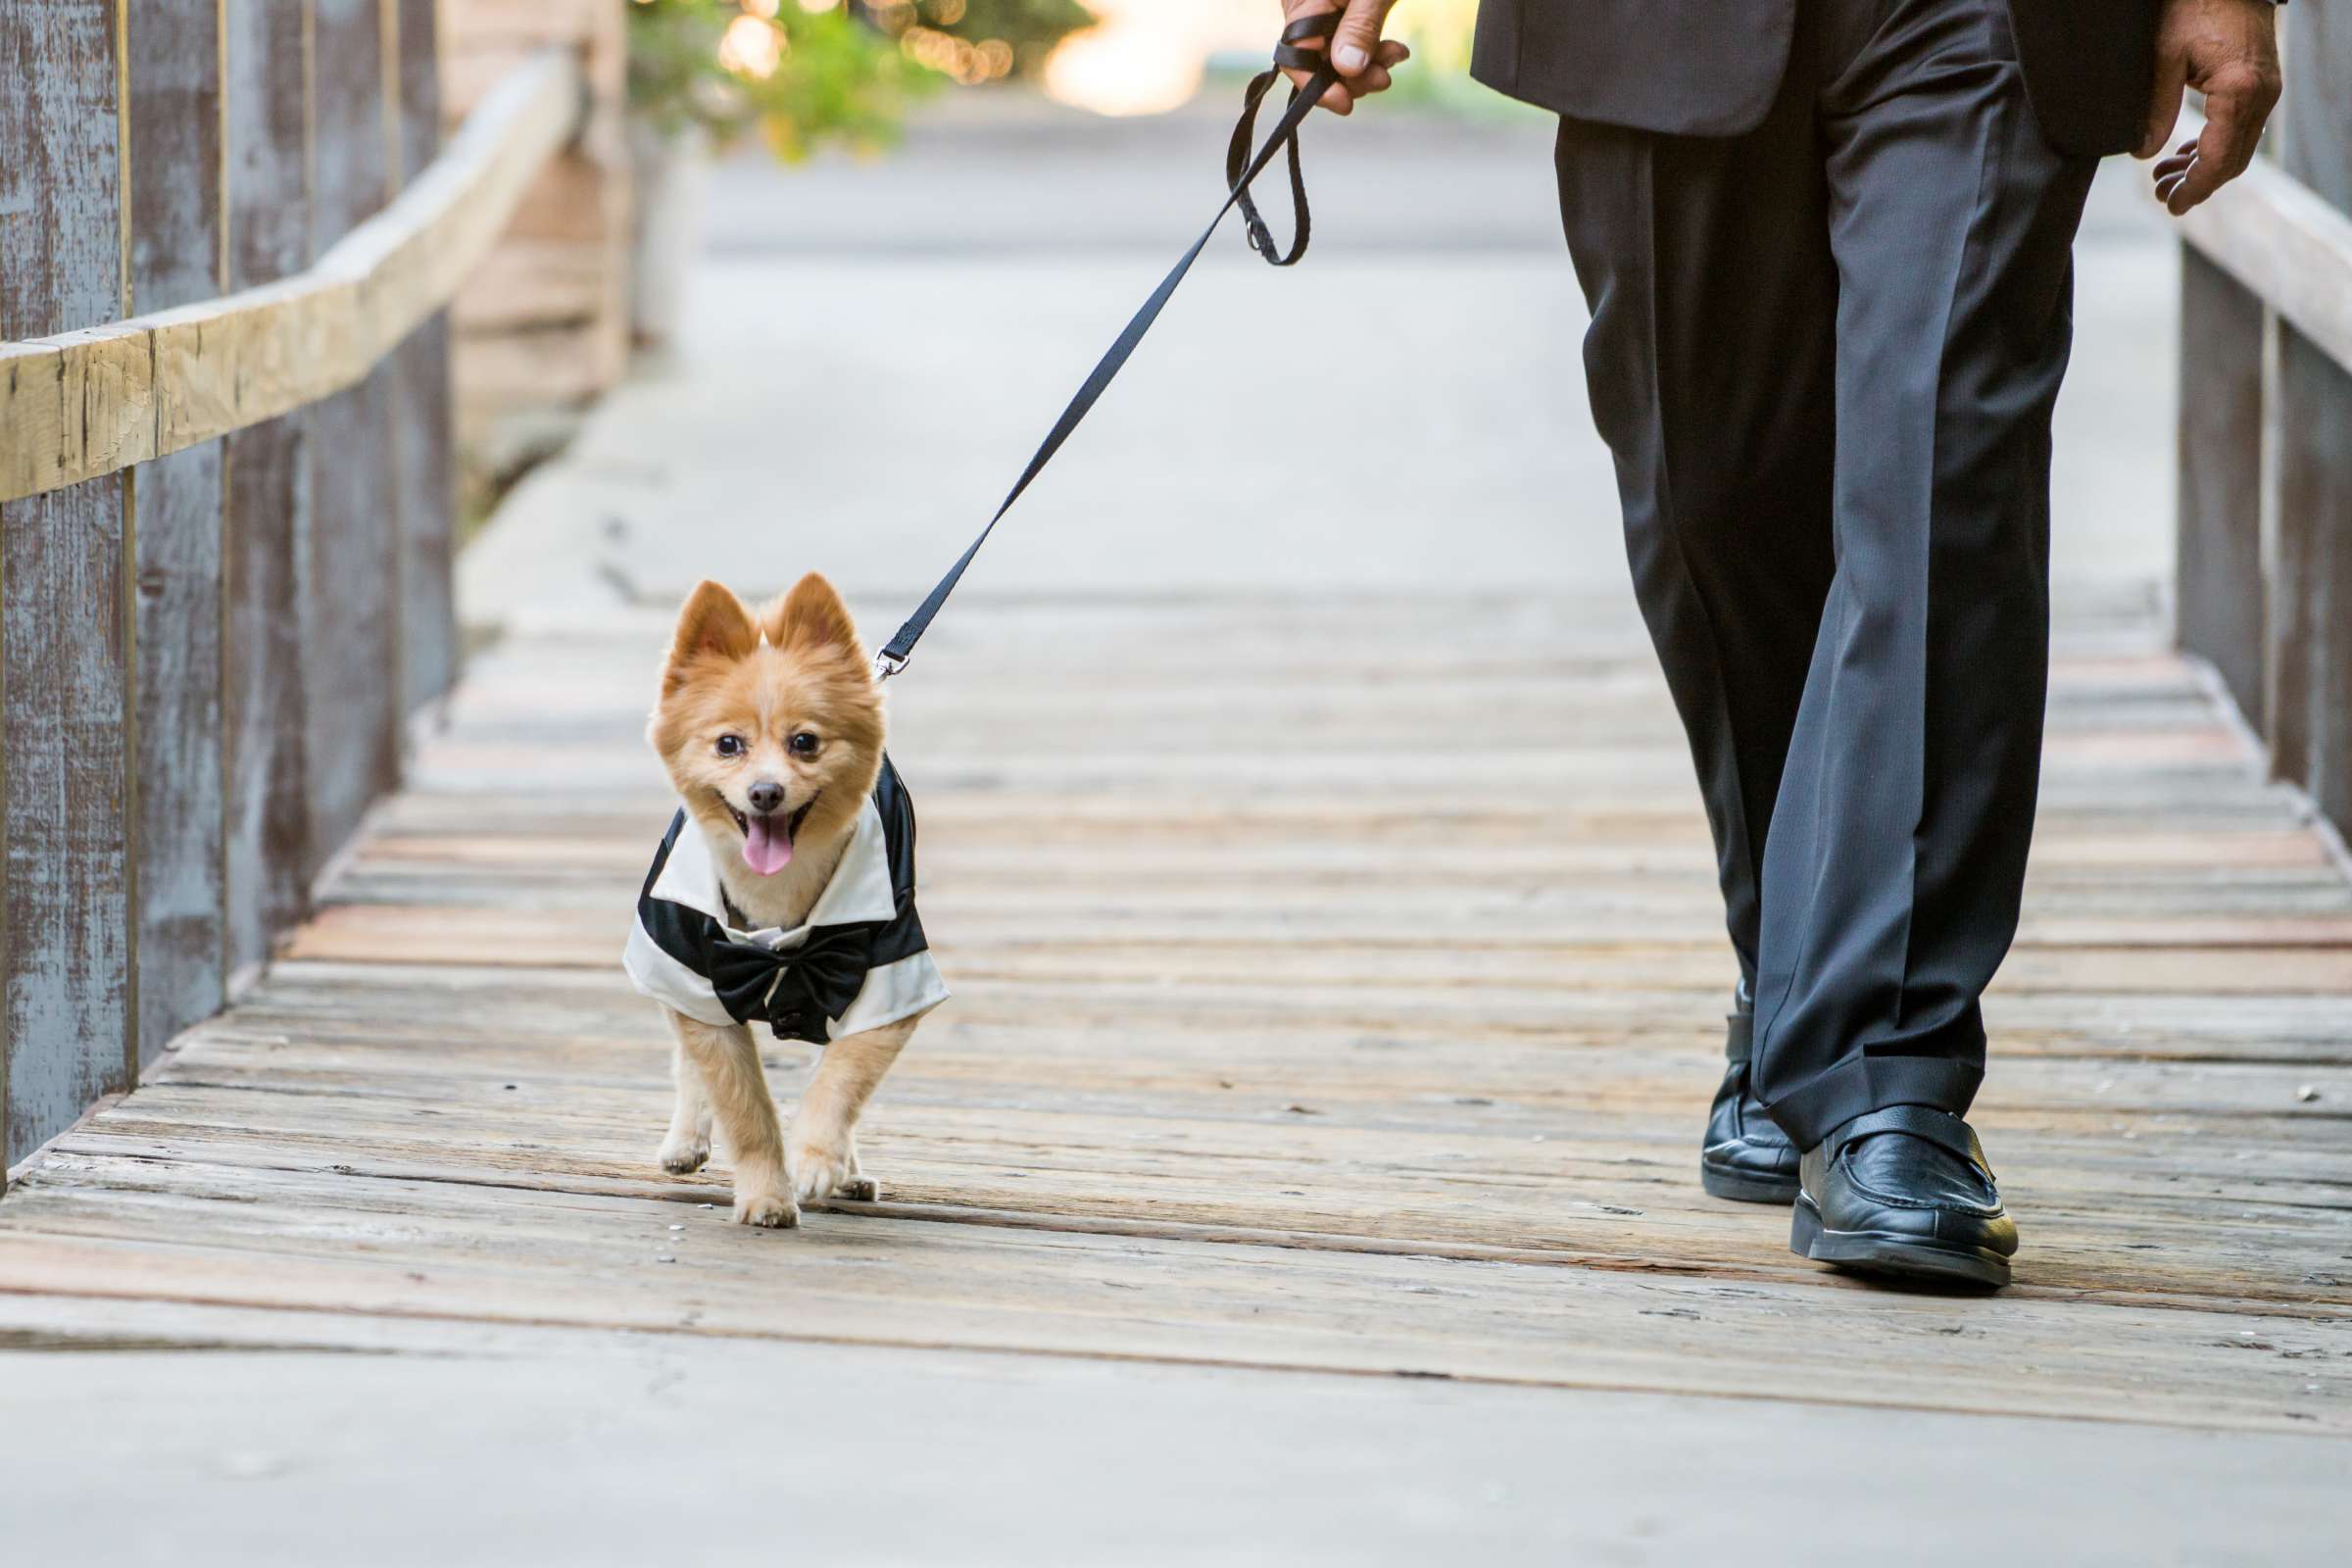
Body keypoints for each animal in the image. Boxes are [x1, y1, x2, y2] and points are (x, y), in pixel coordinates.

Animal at [635, 573, 955, 1222]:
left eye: (805, 742)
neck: (775, 893)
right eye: (728, 745)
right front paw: (766, 1195)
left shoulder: (887, 978)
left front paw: (817, 1160)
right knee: (685, 1055)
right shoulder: (696, 972)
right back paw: (685, 1140)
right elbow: (743, 1108)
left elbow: (840, 1080)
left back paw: (849, 1172)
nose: (765, 791)